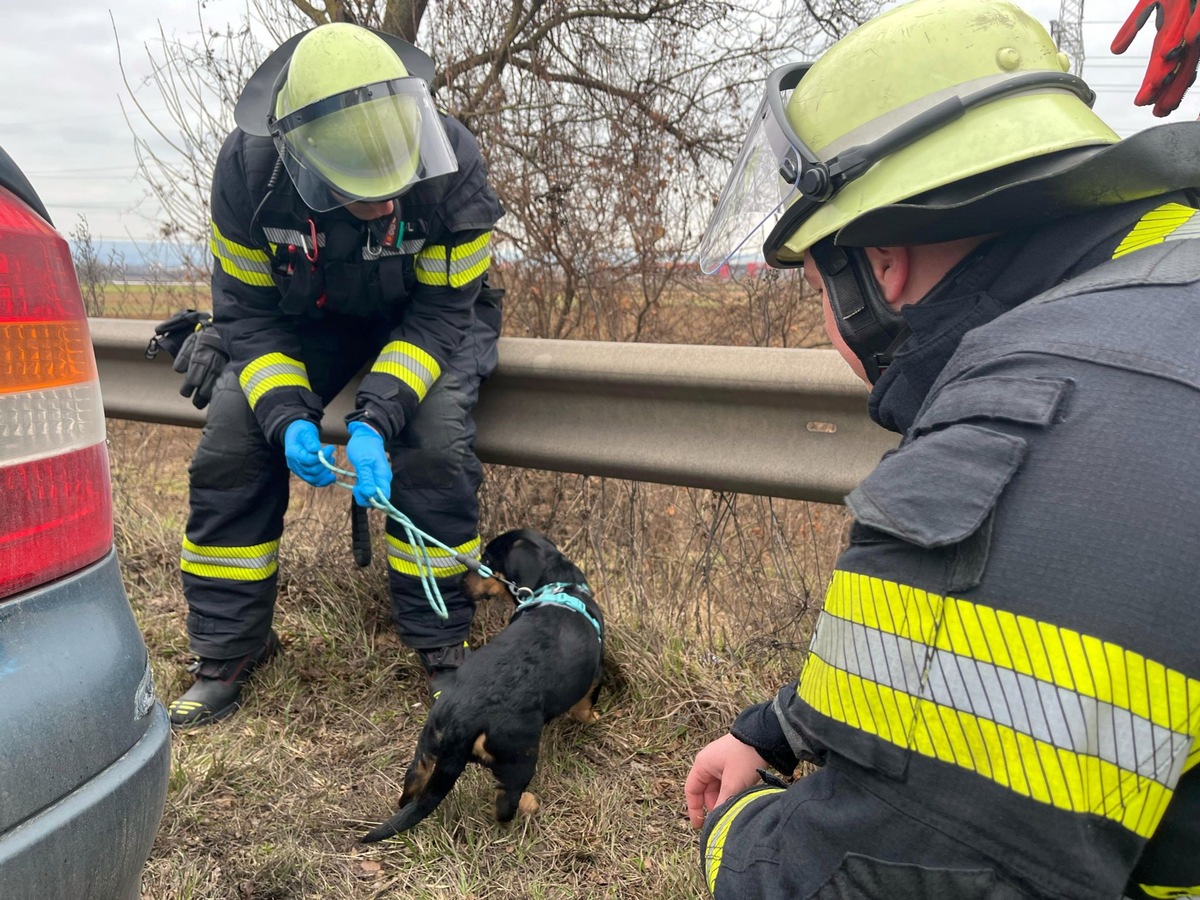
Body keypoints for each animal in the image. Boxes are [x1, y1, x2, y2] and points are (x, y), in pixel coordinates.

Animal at [360, 528, 604, 844]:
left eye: (486, 561)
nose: (458, 583)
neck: (558, 588)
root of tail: (461, 719)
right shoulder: (595, 676)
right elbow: (585, 706)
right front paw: (594, 719)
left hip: (427, 745)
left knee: (412, 786)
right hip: (519, 758)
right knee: (504, 803)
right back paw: (527, 806)